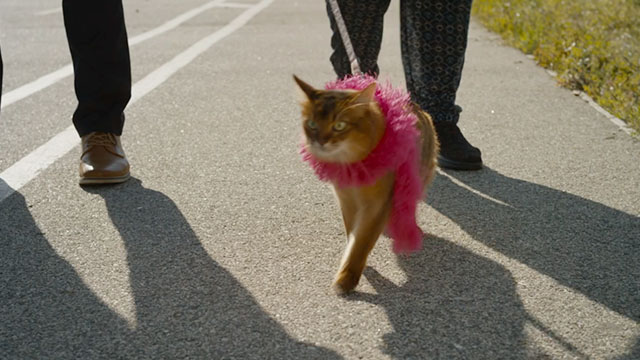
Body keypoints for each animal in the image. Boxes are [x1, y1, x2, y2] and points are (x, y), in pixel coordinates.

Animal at [292, 75, 438, 292]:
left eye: (339, 126)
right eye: (311, 124)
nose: (320, 142)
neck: (351, 161)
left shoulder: (378, 203)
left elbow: (362, 241)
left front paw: (347, 277)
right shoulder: (346, 200)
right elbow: (352, 232)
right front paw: (348, 256)